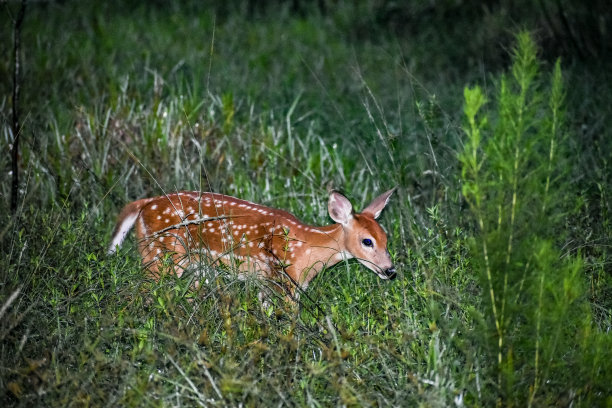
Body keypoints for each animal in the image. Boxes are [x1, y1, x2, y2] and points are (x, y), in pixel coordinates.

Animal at [108, 188, 396, 300]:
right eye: (367, 241)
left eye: (386, 238)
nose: (390, 270)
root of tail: (144, 204)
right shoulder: (283, 280)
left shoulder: (268, 284)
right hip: (162, 255)